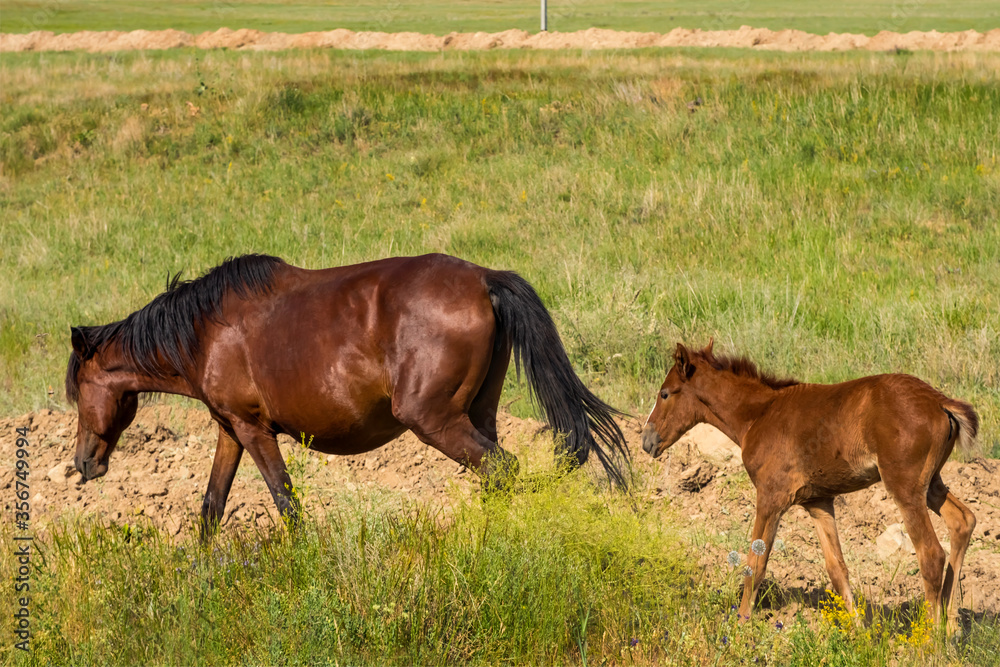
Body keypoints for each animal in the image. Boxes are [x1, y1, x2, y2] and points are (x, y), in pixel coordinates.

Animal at [66, 253, 629, 538]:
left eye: (78, 393)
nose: (83, 464)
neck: (205, 331)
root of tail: (484, 279)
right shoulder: (231, 430)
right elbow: (210, 507)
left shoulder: (253, 430)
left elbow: (285, 502)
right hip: (477, 413)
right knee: (497, 471)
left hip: (435, 421)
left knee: (501, 468)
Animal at [641, 340, 978, 631]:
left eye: (665, 394)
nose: (646, 441)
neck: (759, 415)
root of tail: (941, 402)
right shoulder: (818, 502)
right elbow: (837, 569)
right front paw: (859, 634)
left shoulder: (770, 497)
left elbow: (756, 564)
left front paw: (741, 625)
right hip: (931, 483)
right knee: (963, 521)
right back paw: (950, 629)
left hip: (904, 487)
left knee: (931, 555)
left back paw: (930, 640)